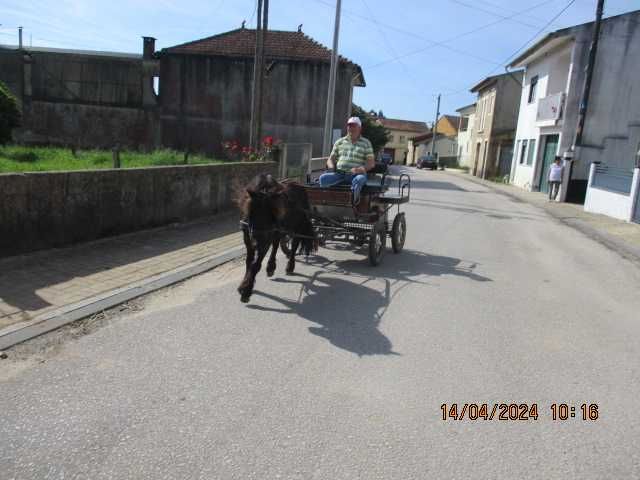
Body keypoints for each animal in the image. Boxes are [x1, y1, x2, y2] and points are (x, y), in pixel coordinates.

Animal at [235, 173, 316, 304]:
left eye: (269, 213)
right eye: (252, 211)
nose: (256, 243)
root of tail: (299, 184)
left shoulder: (265, 239)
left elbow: (255, 264)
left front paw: (246, 291)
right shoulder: (248, 238)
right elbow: (249, 261)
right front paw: (244, 284)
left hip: (297, 227)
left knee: (294, 245)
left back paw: (289, 266)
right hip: (279, 230)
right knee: (277, 243)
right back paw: (271, 267)